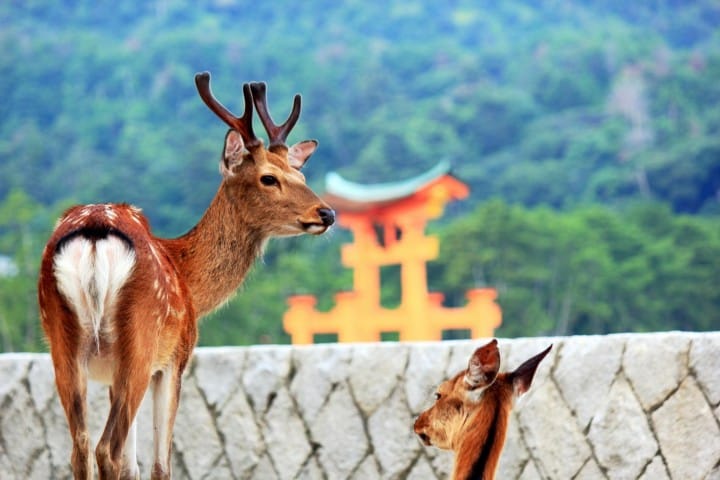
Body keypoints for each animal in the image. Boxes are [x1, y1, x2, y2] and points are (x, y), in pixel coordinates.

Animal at [36, 72, 334, 480]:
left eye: (300, 173)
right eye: (268, 178)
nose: (327, 213)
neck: (189, 276)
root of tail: (95, 234)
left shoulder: (112, 373)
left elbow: (133, 466)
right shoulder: (175, 360)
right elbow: (160, 465)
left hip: (62, 342)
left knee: (81, 448)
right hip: (140, 340)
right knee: (106, 449)